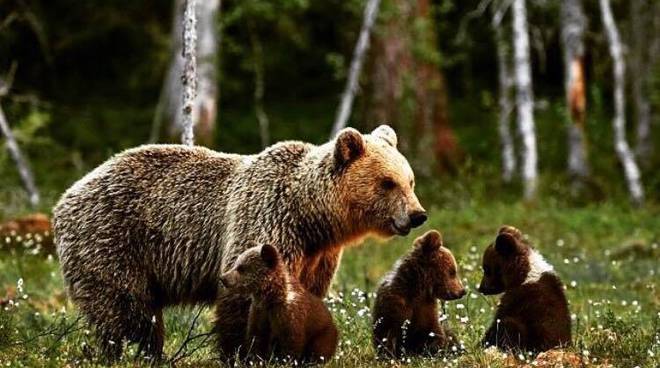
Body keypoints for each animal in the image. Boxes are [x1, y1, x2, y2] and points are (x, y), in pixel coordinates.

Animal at [51, 125, 426, 360]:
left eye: (410, 181)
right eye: (388, 182)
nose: (417, 215)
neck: (312, 217)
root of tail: (66, 197)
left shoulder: (318, 255)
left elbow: (305, 295)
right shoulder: (268, 221)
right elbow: (245, 296)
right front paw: (245, 352)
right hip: (113, 240)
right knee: (126, 309)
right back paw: (138, 352)